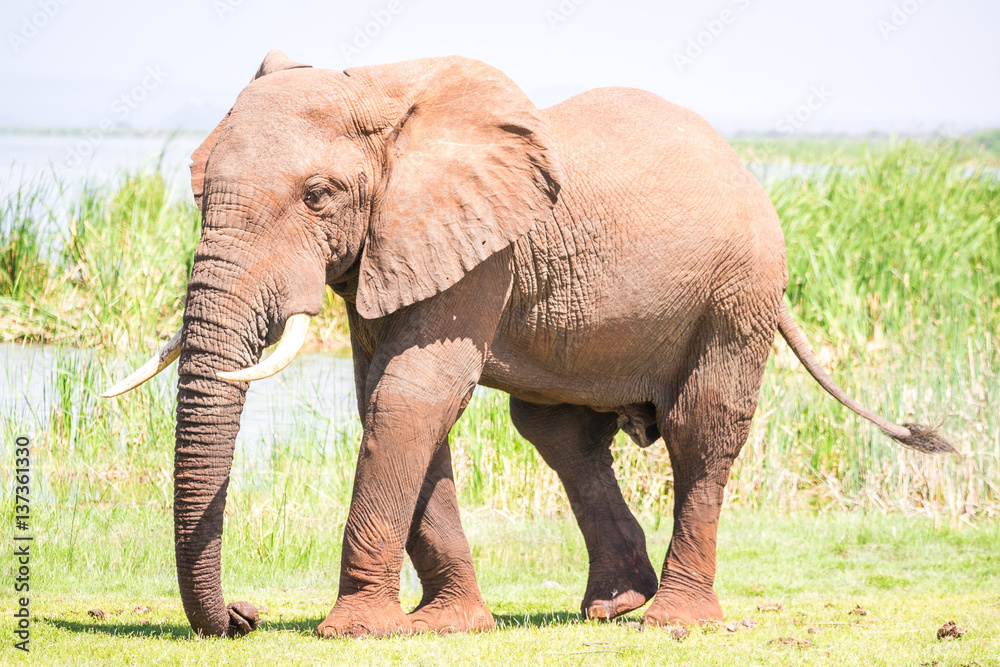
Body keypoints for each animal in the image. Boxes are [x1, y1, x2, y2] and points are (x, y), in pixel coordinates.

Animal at [103, 50, 954, 639]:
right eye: (200, 190)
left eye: (318, 197)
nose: (245, 615)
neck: (377, 84)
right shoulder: (397, 248)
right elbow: (392, 397)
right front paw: (446, 626)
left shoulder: (483, 249)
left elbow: (414, 390)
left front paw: (353, 632)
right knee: (561, 435)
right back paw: (613, 605)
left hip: (738, 292)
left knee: (700, 430)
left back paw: (673, 619)